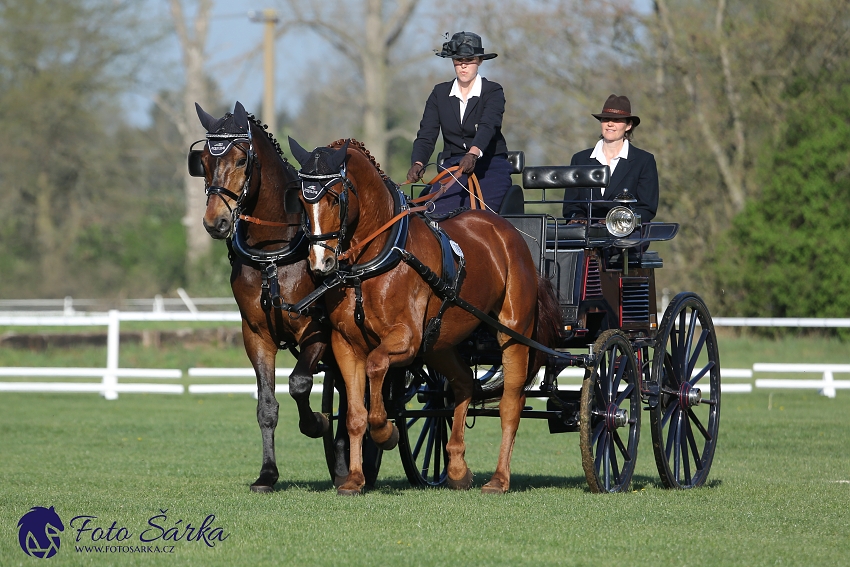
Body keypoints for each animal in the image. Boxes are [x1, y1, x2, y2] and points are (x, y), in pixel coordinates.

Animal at [192, 103, 342, 492]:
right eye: (204, 161)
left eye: (242, 159)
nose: (214, 222)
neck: (273, 255)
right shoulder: (256, 335)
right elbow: (267, 406)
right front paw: (268, 473)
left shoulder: (318, 331)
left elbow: (300, 384)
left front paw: (316, 423)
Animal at [288, 139, 560, 496]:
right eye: (301, 201)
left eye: (335, 197)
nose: (321, 263)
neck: (376, 259)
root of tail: (506, 229)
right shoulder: (346, 346)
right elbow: (355, 416)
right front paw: (355, 479)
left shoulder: (406, 339)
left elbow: (376, 367)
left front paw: (385, 433)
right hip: (441, 343)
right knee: (463, 384)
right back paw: (457, 469)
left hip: (512, 334)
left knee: (511, 404)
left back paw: (499, 480)